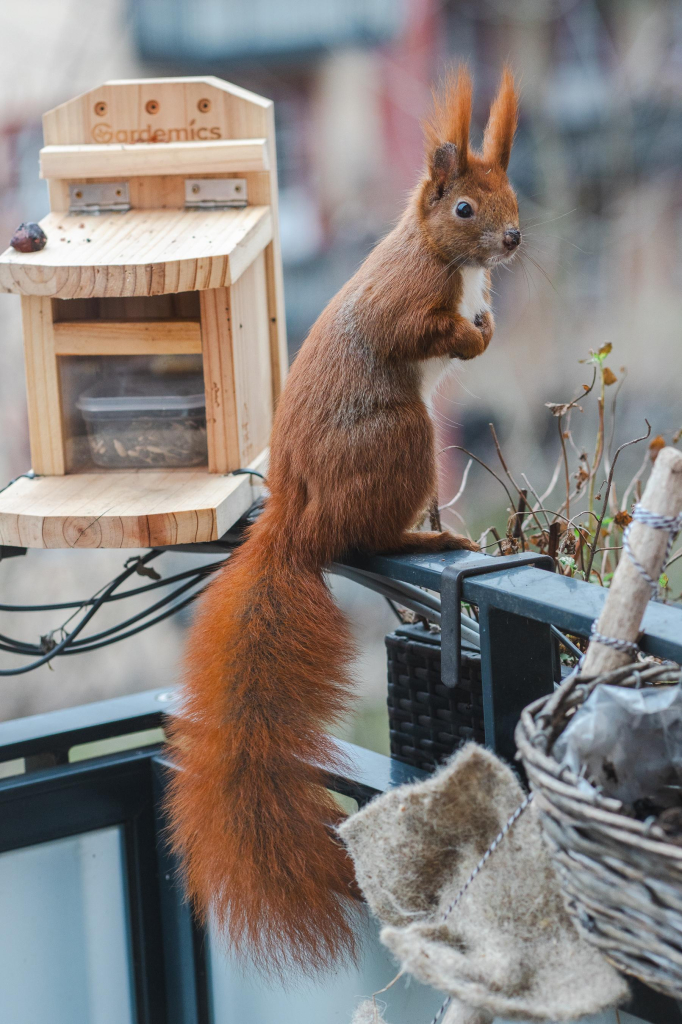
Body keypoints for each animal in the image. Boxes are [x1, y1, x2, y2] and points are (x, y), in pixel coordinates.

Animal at [166, 66, 518, 974]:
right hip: (402, 438)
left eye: (512, 194)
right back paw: (429, 534)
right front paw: (473, 335)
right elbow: (416, 331)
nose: (511, 241)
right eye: (463, 208)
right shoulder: (406, 301)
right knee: (373, 535)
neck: (440, 256)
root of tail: (297, 524)